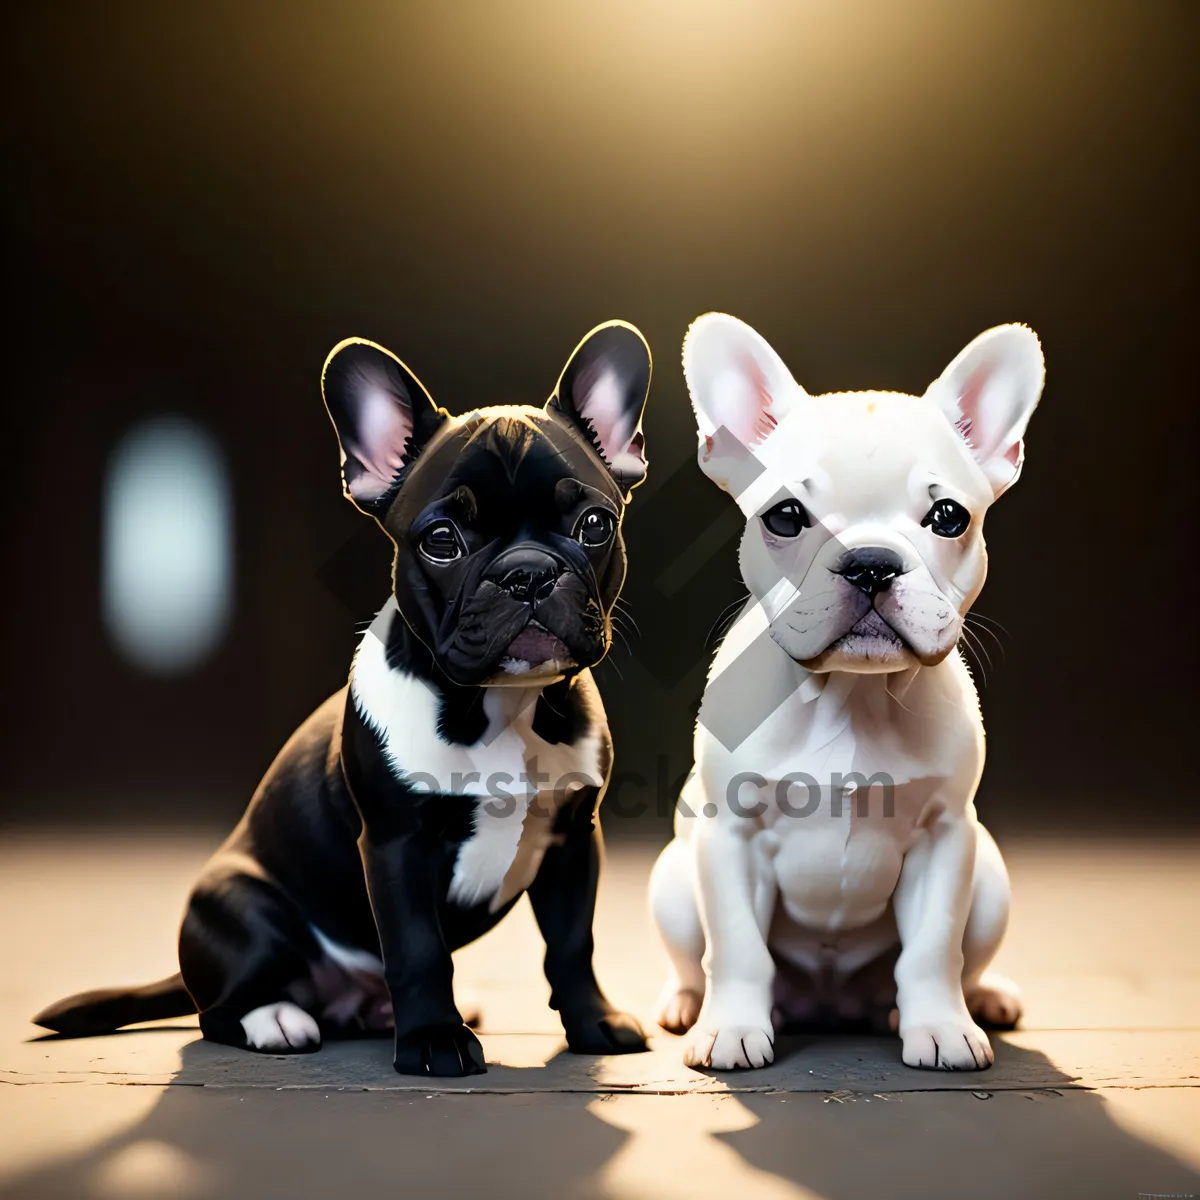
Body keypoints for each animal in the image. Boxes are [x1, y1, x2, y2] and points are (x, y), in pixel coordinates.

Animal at [35, 319, 657, 1080]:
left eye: (595, 525)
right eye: (441, 540)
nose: (529, 573)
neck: (500, 706)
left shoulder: (572, 842)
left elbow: (572, 943)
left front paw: (594, 1024)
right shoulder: (396, 845)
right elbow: (418, 949)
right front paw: (434, 1041)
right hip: (245, 907)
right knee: (218, 1010)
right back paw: (277, 1019)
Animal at [652, 314, 1046, 1075]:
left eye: (948, 517)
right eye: (785, 516)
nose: (870, 562)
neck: (853, 698)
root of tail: (830, 1005)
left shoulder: (946, 836)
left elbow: (932, 949)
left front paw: (940, 1028)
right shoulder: (730, 834)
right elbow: (738, 947)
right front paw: (733, 1028)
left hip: (991, 883)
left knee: (963, 957)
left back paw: (979, 1001)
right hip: (673, 885)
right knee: (696, 956)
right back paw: (690, 1005)